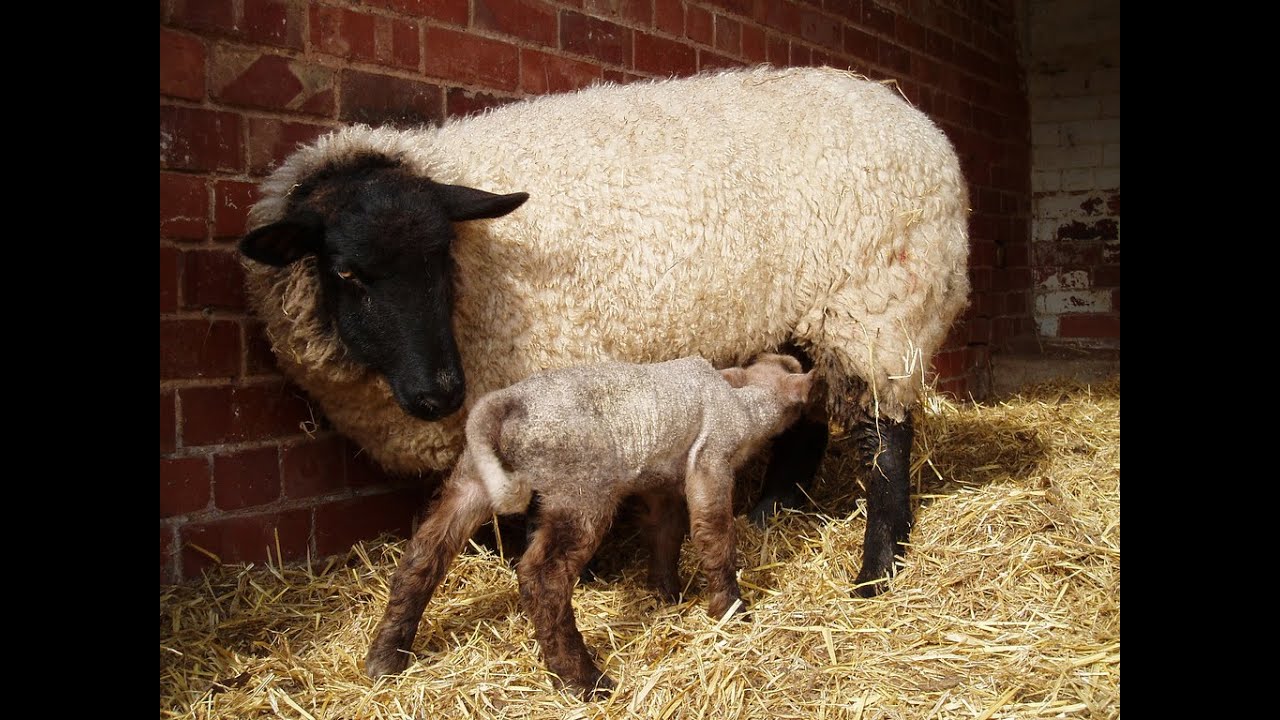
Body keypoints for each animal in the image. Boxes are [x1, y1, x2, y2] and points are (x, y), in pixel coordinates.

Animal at [239, 65, 970, 616]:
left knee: (888, 436)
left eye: (442, 256)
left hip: (876, 307)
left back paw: (876, 569)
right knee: (807, 412)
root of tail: (918, 121)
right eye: (345, 273)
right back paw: (771, 513)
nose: (439, 393)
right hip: (809, 314)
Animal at [363, 353, 816, 696]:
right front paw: (731, 609)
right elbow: (714, 533)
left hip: (472, 480)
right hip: (581, 490)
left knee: (423, 554)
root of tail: (505, 403)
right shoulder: (712, 460)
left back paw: (385, 659)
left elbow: (665, 534)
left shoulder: (661, 484)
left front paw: (666, 594)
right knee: (542, 578)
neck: (742, 397)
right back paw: (584, 681)